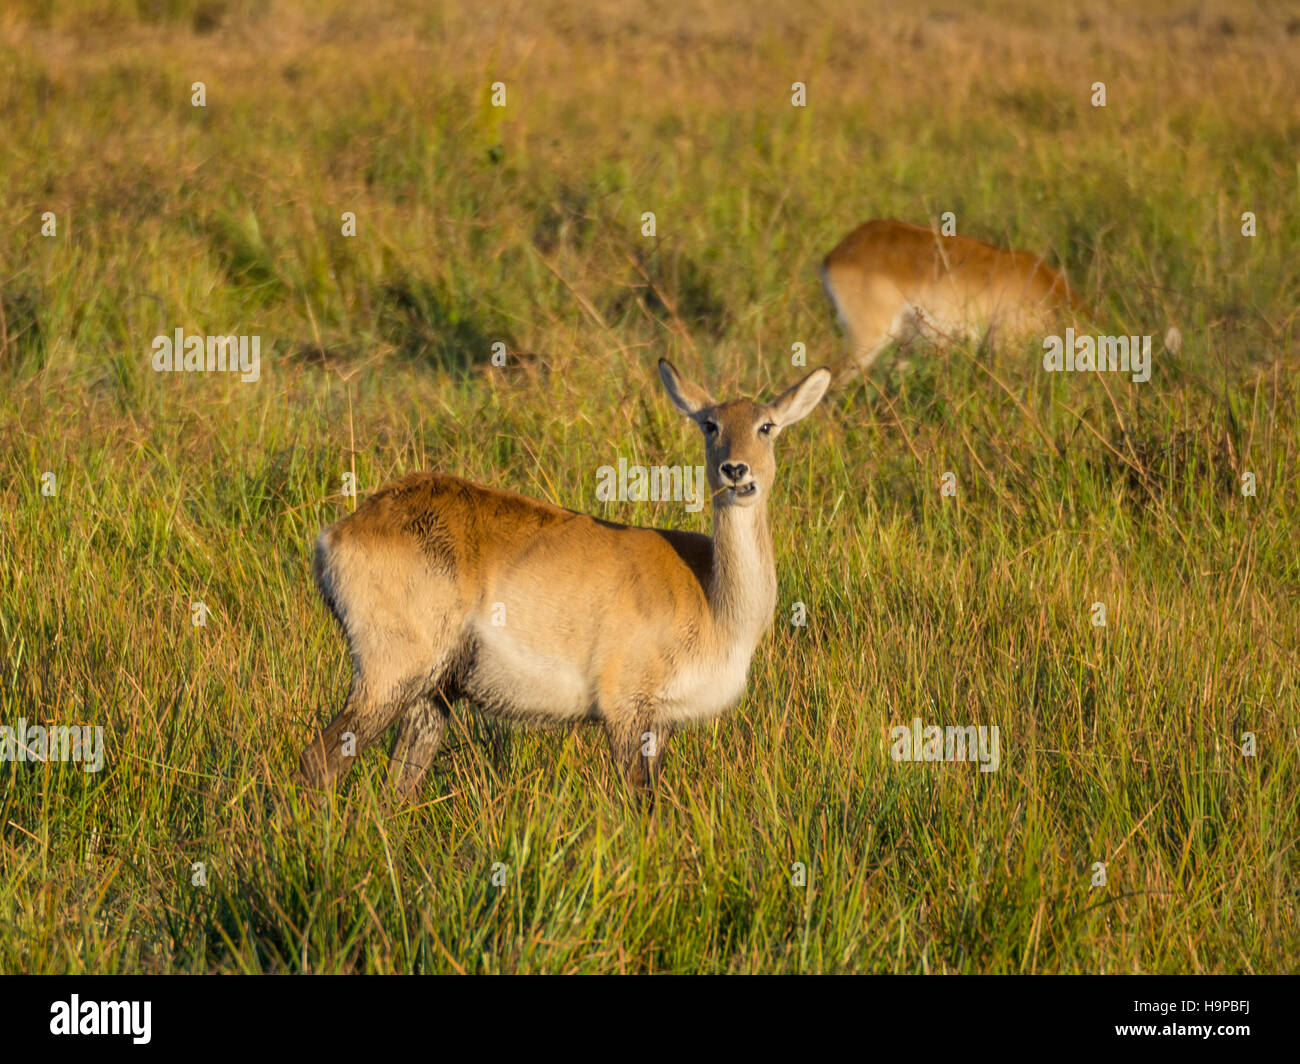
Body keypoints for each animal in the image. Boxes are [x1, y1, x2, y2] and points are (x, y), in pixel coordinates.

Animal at [298, 359, 832, 801]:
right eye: (710, 424)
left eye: (767, 425)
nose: (736, 470)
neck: (713, 597)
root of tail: (341, 530)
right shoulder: (625, 709)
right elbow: (642, 802)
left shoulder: (659, 724)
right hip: (389, 675)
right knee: (319, 760)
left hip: (432, 696)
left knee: (398, 785)